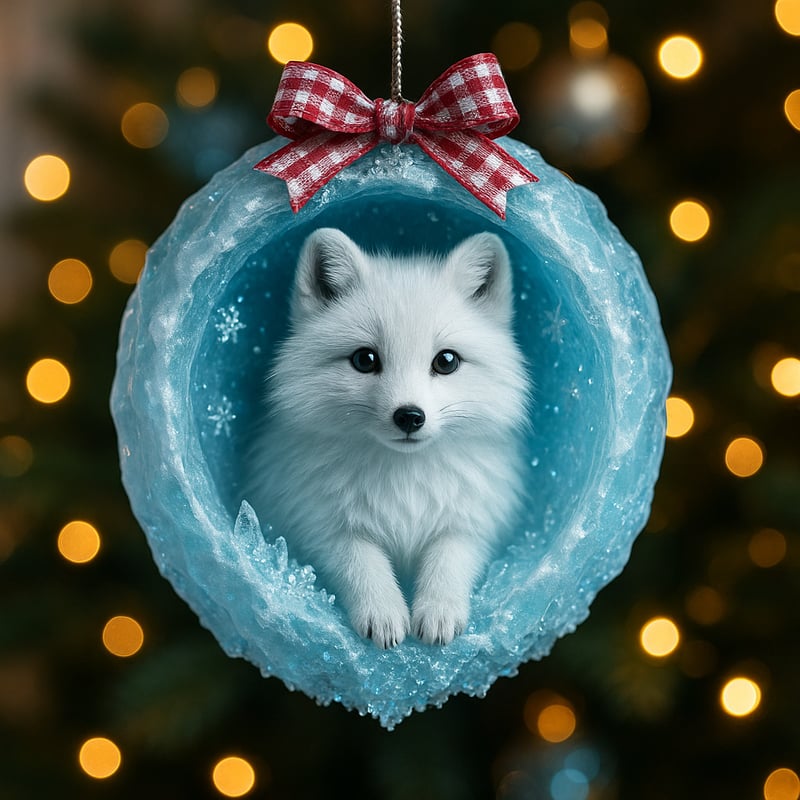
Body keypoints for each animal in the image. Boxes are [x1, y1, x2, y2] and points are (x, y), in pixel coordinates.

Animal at [247, 227, 530, 648]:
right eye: (365, 359)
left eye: (446, 361)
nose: (409, 416)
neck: (404, 478)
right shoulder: (320, 524)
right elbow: (361, 563)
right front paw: (382, 612)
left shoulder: (473, 518)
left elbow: (449, 557)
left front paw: (438, 612)